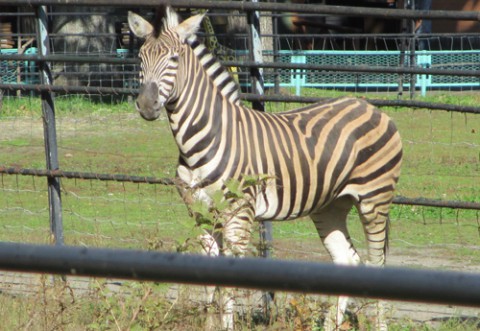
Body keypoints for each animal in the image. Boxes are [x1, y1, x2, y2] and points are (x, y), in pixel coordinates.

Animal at [127, 6, 402, 330]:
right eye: (140, 58)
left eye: (174, 59)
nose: (146, 105)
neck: (202, 141)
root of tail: (368, 106)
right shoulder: (201, 216)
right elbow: (208, 283)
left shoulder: (239, 216)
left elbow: (228, 283)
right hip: (331, 204)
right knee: (347, 261)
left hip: (375, 199)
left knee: (377, 263)